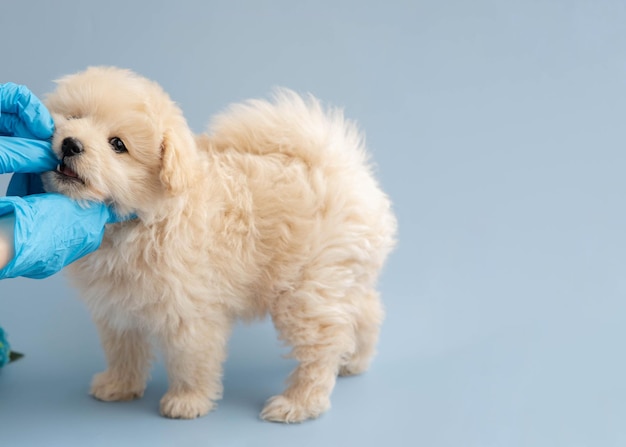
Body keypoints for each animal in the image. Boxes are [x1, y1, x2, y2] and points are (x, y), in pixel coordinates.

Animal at [42, 66, 394, 424]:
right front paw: (119, 384)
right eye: (74, 117)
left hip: (307, 290)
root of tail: (340, 168)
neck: (139, 221)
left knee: (321, 346)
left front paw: (187, 401)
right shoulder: (117, 307)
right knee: (365, 312)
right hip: (341, 277)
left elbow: (190, 358)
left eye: (117, 144)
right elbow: (123, 349)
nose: (71, 144)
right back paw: (354, 360)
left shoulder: (190, 310)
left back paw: (298, 402)